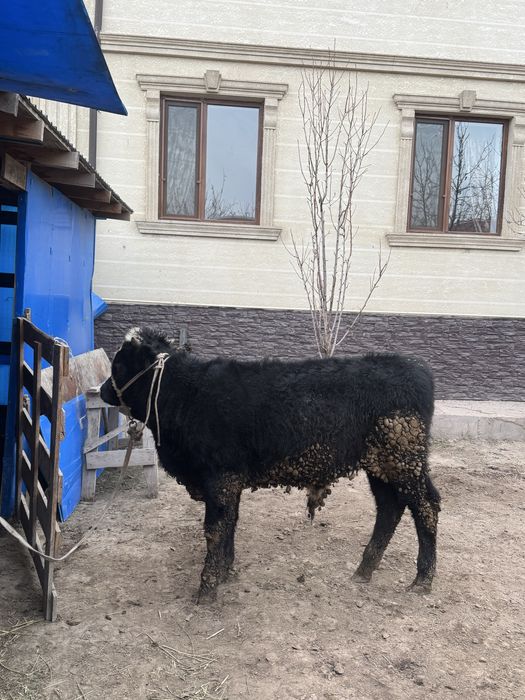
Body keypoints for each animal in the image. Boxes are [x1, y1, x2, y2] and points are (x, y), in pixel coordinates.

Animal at [99, 327, 441, 601]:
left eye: (118, 364)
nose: (103, 390)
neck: (187, 394)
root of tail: (416, 369)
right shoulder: (230, 481)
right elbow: (230, 524)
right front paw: (226, 572)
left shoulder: (219, 477)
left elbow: (214, 529)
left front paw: (207, 589)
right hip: (381, 466)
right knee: (389, 508)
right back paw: (364, 571)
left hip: (403, 460)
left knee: (426, 507)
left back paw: (422, 580)